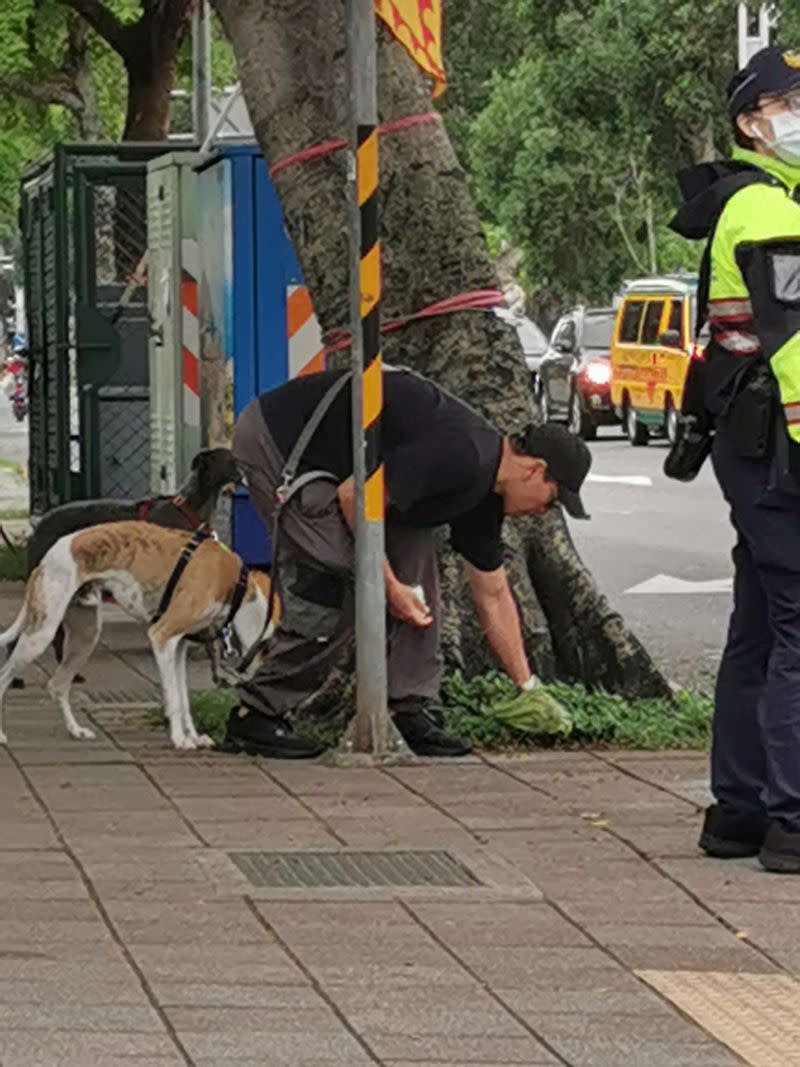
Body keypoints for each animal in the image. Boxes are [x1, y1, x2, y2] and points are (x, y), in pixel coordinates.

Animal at [0, 524, 277, 751]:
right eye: (267, 650)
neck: (234, 582)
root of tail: (46, 558)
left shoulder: (178, 647)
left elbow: (184, 699)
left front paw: (194, 737)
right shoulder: (162, 637)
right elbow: (174, 699)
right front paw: (180, 740)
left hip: (84, 637)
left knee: (57, 685)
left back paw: (76, 730)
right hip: (41, 633)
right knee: (5, 675)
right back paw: (2, 735)